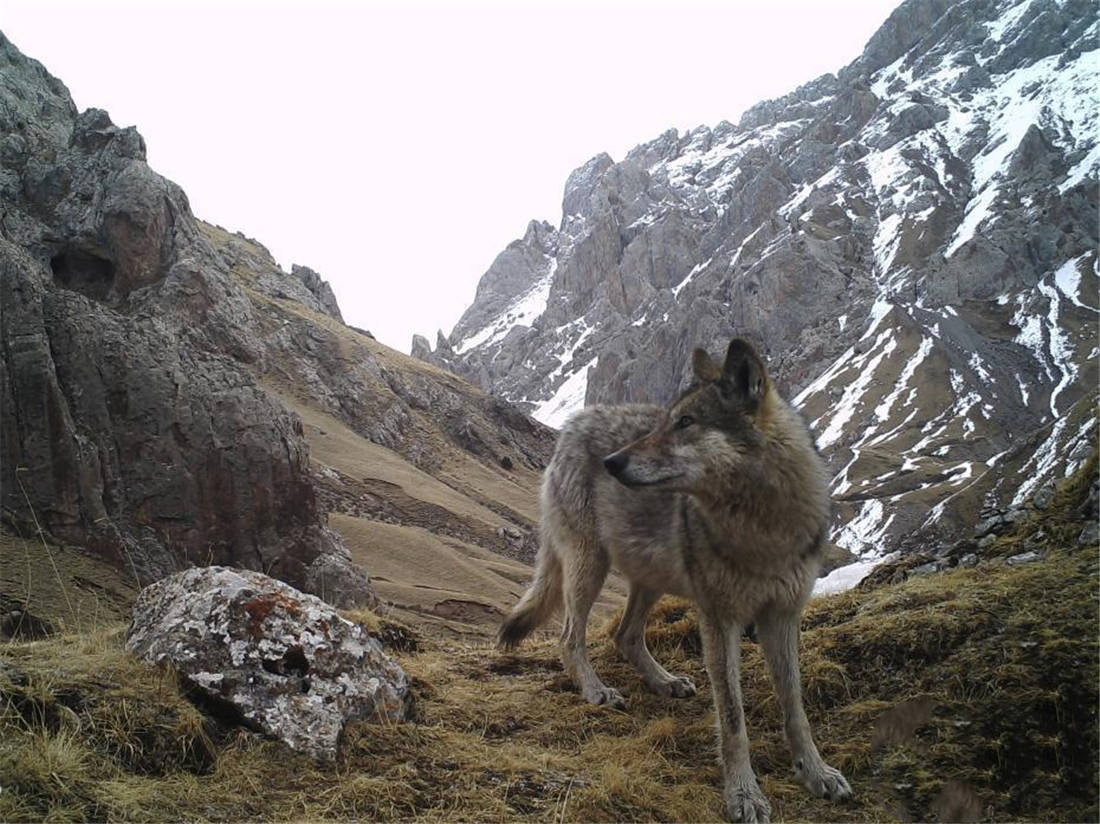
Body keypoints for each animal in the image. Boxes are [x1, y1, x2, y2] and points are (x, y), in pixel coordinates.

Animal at [499, 336, 849, 818]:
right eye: (667, 420)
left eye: (685, 422)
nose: (612, 463)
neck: (763, 527)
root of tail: (572, 424)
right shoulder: (720, 620)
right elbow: (733, 719)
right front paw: (744, 794)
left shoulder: (783, 616)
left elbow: (795, 707)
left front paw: (815, 772)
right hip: (590, 567)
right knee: (570, 637)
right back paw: (596, 691)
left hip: (651, 578)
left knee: (625, 635)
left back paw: (664, 682)